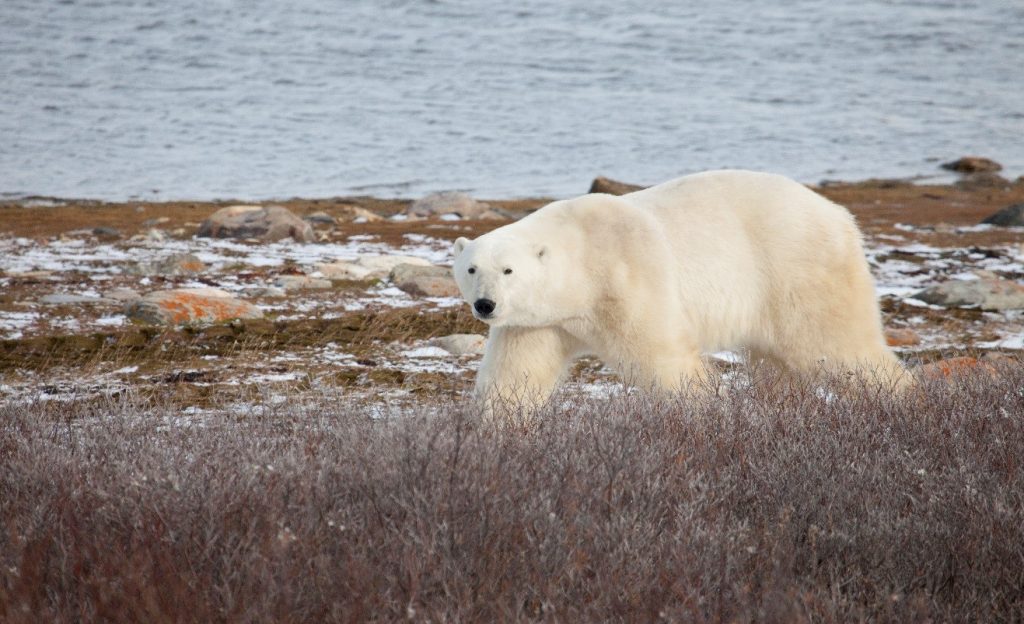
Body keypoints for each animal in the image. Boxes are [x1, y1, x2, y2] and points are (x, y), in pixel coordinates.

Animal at [452, 168, 909, 416]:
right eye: (472, 268)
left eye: (508, 269)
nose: (486, 304)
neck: (584, 254)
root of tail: (840, 215)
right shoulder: (538, 321)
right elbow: (515, 374)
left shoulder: (626, 277)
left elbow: (662, 356)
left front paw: (704, 411)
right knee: (775, 363)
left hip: (797, 268)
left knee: (833, 342)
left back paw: (901, 398)